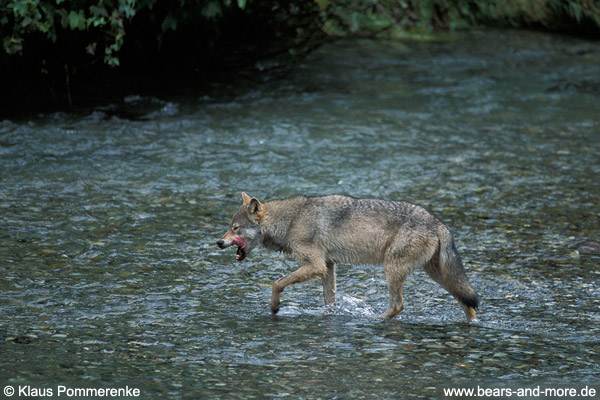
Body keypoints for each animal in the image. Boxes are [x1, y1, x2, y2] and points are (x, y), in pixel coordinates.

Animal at [216, 193, 478, 322]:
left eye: (236, 228)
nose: (219, 242)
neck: (290, 221)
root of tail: (437, 222)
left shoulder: (315, 265)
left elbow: (277, 283)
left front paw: (274, 308)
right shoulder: (327, 267)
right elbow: (329, 300)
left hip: (392, 270)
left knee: (397, 305)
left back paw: (376, 319)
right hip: (438, 275)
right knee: (467, 301)